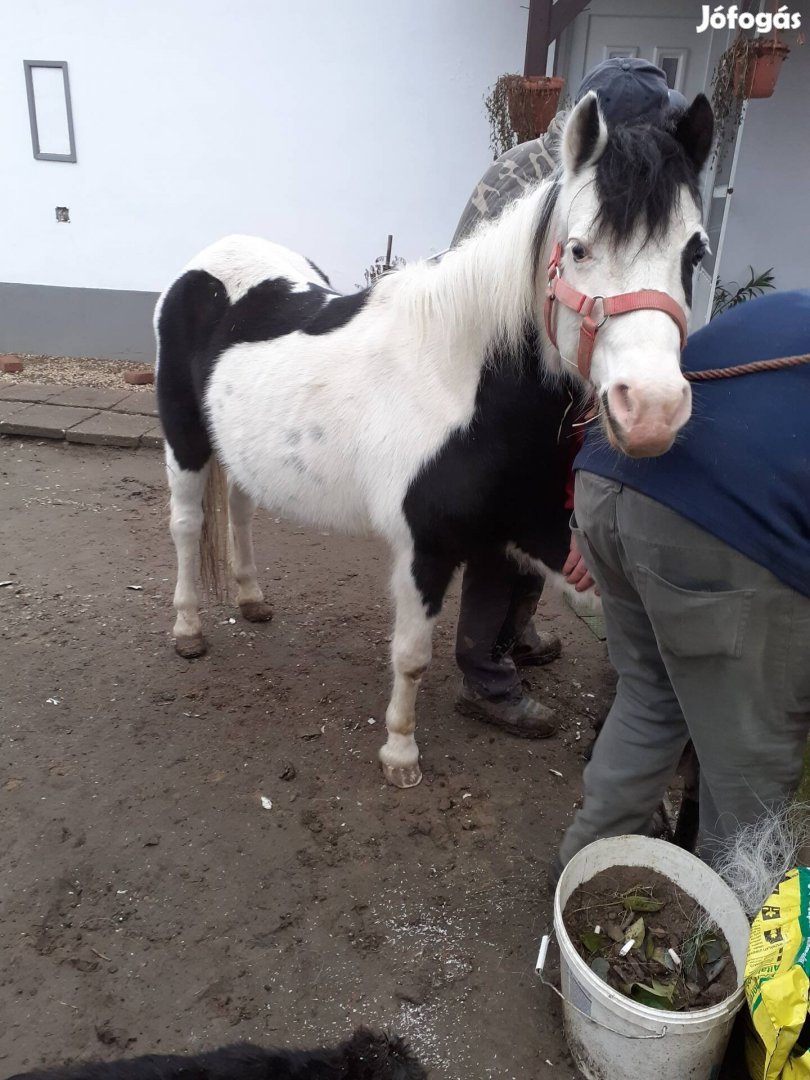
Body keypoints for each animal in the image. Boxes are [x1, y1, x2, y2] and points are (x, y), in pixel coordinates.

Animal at [155, 92, 712, 786]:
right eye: (580, 249)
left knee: (240, 508)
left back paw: (252, 597)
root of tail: (210, 259)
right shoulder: (425, 548)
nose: (652, 410)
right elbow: (414, 655)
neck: (463, 384)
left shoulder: (539, 534)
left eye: (694, 253)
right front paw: (400, 753)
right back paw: (187, 629)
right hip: (184, 441)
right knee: (185, 526)